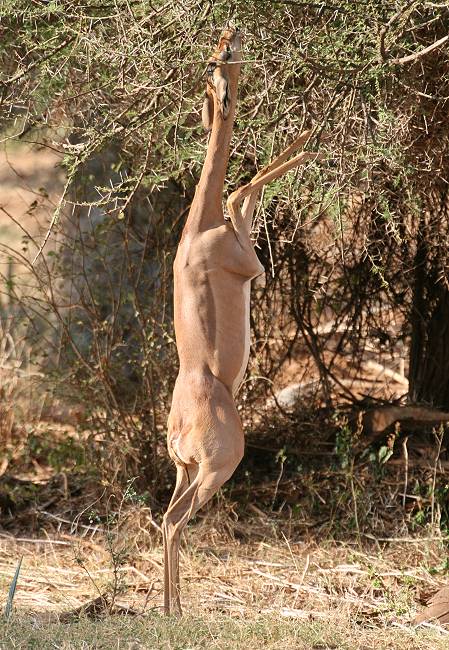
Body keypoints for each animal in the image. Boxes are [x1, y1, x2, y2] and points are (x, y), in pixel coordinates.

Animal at [163, 25, 320, 612]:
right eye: (221, 59)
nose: (232, 33)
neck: (197, 229)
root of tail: (180, 428)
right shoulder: (252, 263)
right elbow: (239, 188)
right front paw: (313, 135)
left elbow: (243, 189)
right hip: (215, 469)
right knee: (176, 522)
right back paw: (177, 611)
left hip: (184, 470)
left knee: (164, 518)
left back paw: (168, 608)